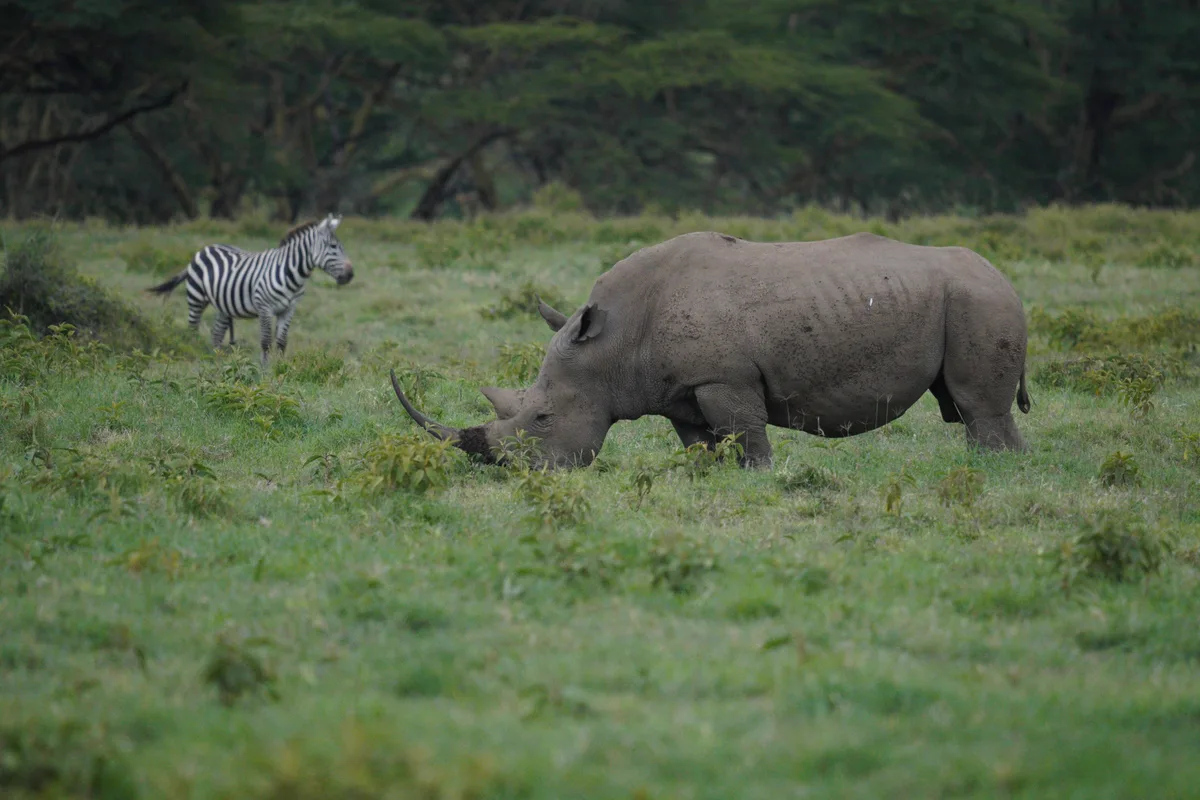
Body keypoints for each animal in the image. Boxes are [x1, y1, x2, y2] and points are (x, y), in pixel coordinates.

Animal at [147, 214, 354, 368]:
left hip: (223, 305)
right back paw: (195, 355)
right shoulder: (265, 308)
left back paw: (217, 362)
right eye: (333, 247)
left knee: (216, 334)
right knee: (192, 331)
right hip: (196, 298)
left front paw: (281, 368)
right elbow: (265, 342)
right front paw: (265, 370)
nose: (351, 274)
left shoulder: (289, 309)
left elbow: (281, 342)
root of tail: (203, 249)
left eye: (342, 247)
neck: (292, 273)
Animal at [390, 231, 1032, 469]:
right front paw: (707, 476)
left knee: (978, 405)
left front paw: (762, 476)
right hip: (968, 297)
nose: (513, 472)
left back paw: (993, 471)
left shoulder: (725, 378)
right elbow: (701, 444)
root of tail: (1005, 276)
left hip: (979, 300)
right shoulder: (680, 388)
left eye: (543, 417)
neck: (614, 344)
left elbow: (747, 436)